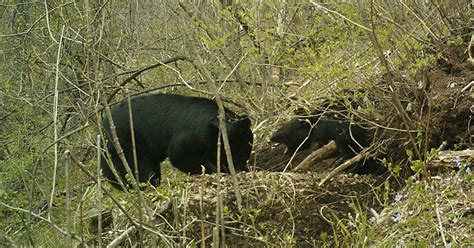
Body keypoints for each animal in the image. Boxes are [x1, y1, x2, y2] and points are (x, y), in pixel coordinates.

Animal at [102, 92, 254, 189]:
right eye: (241, 152)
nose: (243, 168)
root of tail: (104, 122)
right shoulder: (195, 134)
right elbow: (180, 153)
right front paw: (216, 170)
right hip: (125, 141)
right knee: (136, 166)